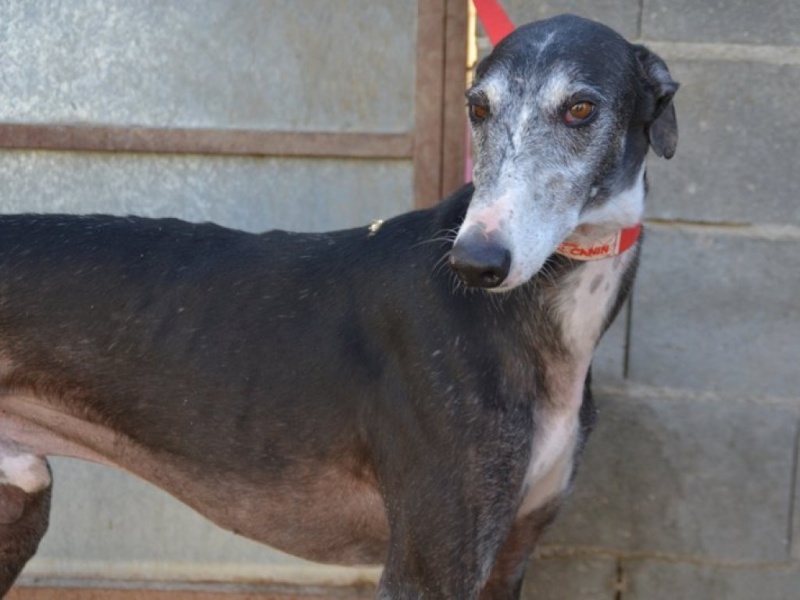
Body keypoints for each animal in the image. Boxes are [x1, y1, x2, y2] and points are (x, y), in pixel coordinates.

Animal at [0, 14, 676, 600]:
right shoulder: (428, 565)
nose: (475, 262)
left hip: (20, 499)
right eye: (478, 108)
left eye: (581, 108)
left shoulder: (508, 558)